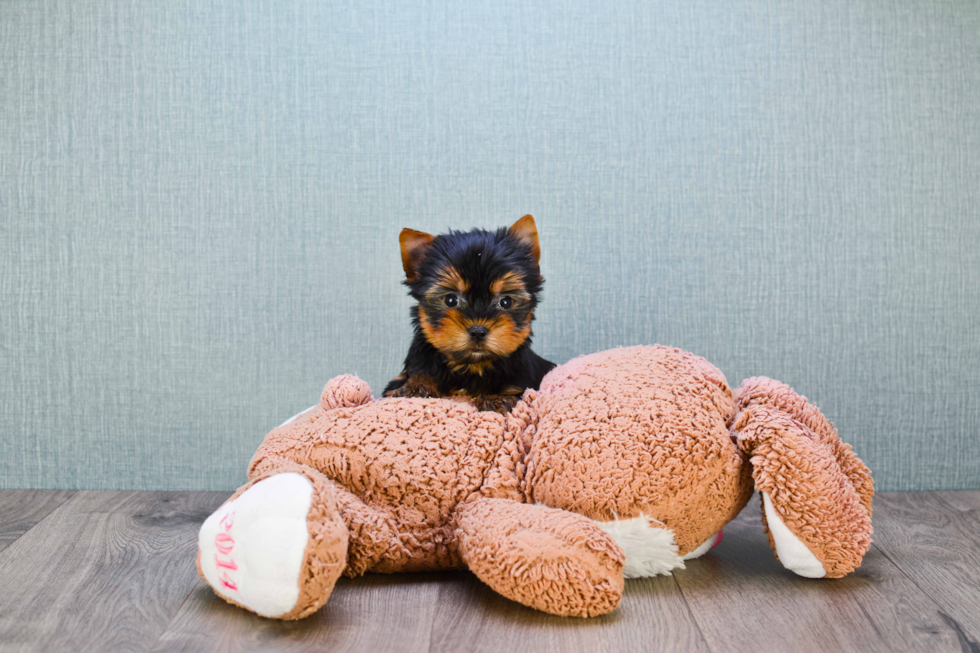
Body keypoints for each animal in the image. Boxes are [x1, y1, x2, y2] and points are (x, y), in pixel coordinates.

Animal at [382, 215, 556, 412]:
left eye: (505, 302)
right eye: (451, 300)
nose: (478, 331)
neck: (471, 365)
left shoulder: (524, 382)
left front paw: (496, 397)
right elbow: (412, 378)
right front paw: (417, 385)